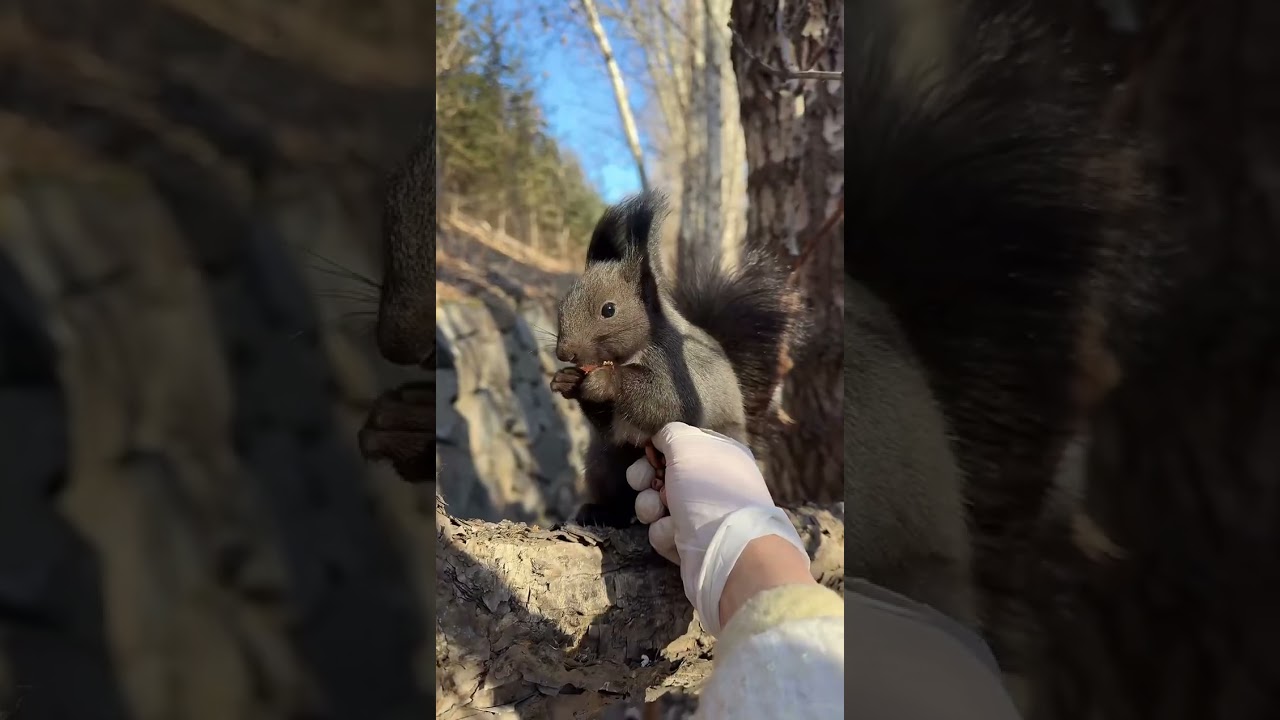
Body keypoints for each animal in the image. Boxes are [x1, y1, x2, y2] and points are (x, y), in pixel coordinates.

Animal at [550, 191, 802, 527]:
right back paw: (598, 511)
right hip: (605, 463)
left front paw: (606, 382)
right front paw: (567, 380)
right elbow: (608, 427)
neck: (632, 353)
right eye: (563, 303)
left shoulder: (683, 374)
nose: (564, 353)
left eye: (609, 309)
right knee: (620, 498)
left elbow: (665, 403)